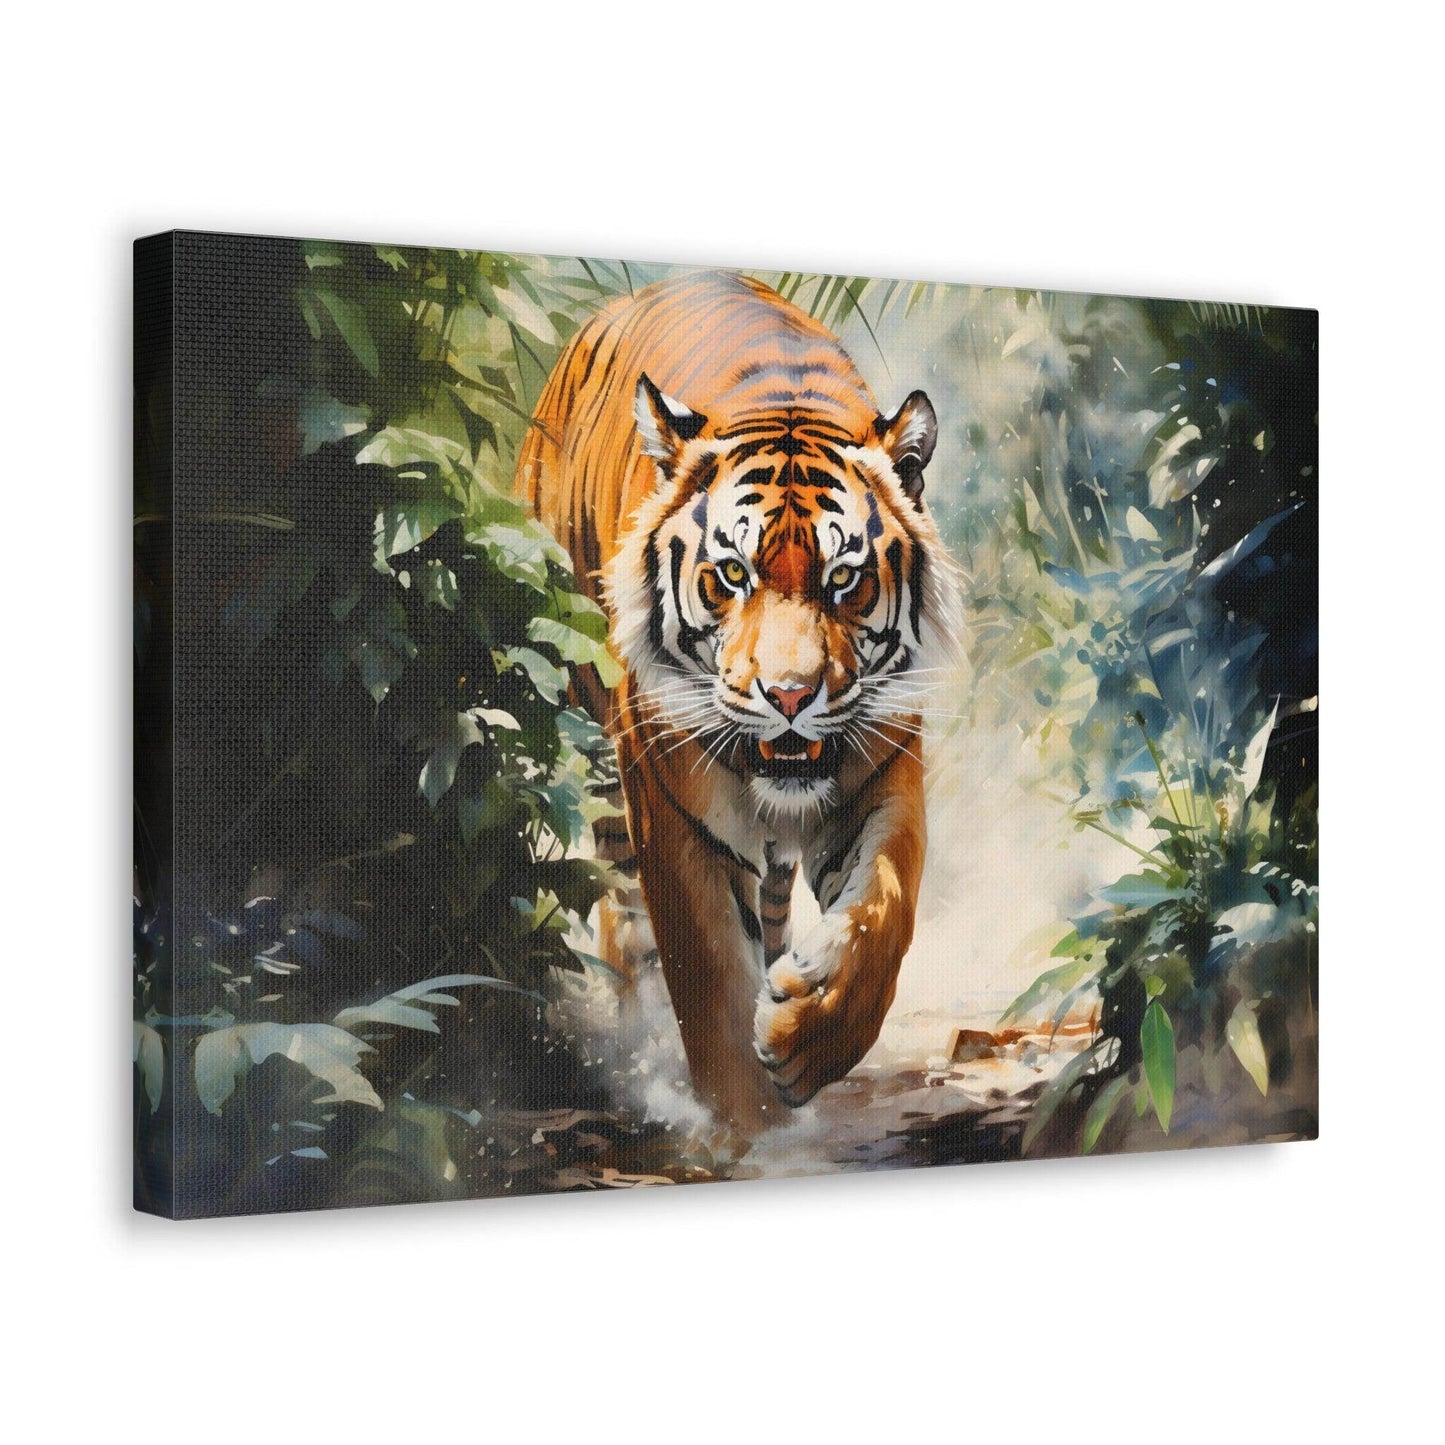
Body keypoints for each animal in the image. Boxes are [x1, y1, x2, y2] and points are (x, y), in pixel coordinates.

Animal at [516, 269, 959, 1134]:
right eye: (731, 574)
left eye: (843, 579)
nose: (788, 695)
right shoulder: (673, 807)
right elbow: (710, 978)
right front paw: (748, 1128)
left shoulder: (881, 768)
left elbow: (885, 908)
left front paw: (803, 1033)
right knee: (626, 928)